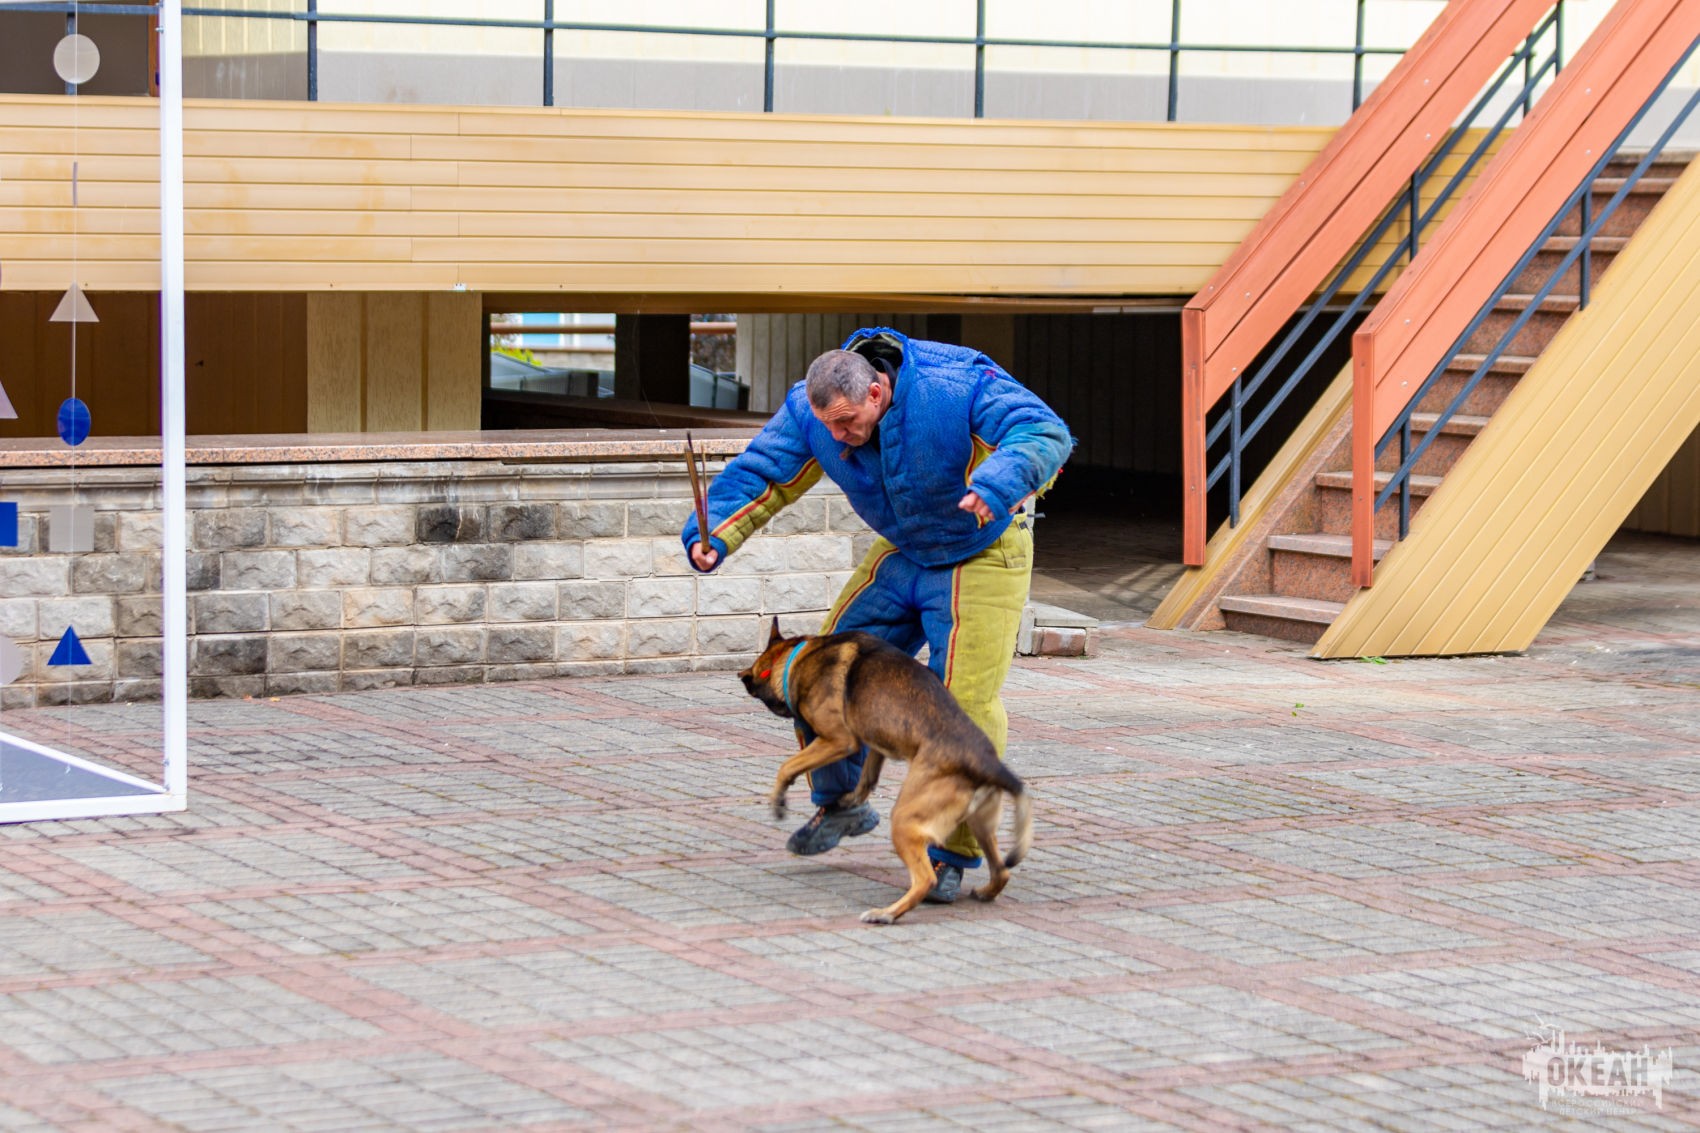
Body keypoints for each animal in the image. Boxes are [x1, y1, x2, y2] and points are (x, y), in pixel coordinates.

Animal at [740, 617, 1032, 924]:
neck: (800, 655)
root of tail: (987, 763)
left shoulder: (839, 739)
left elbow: (787, 766)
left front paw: (779, 799)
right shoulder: (873, 740)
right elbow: (867, 777)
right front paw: (850, 801)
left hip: (905, 820)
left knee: (925, 879)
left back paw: (887, 913)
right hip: (980, 825)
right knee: (1002, 870)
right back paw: (986, 892)